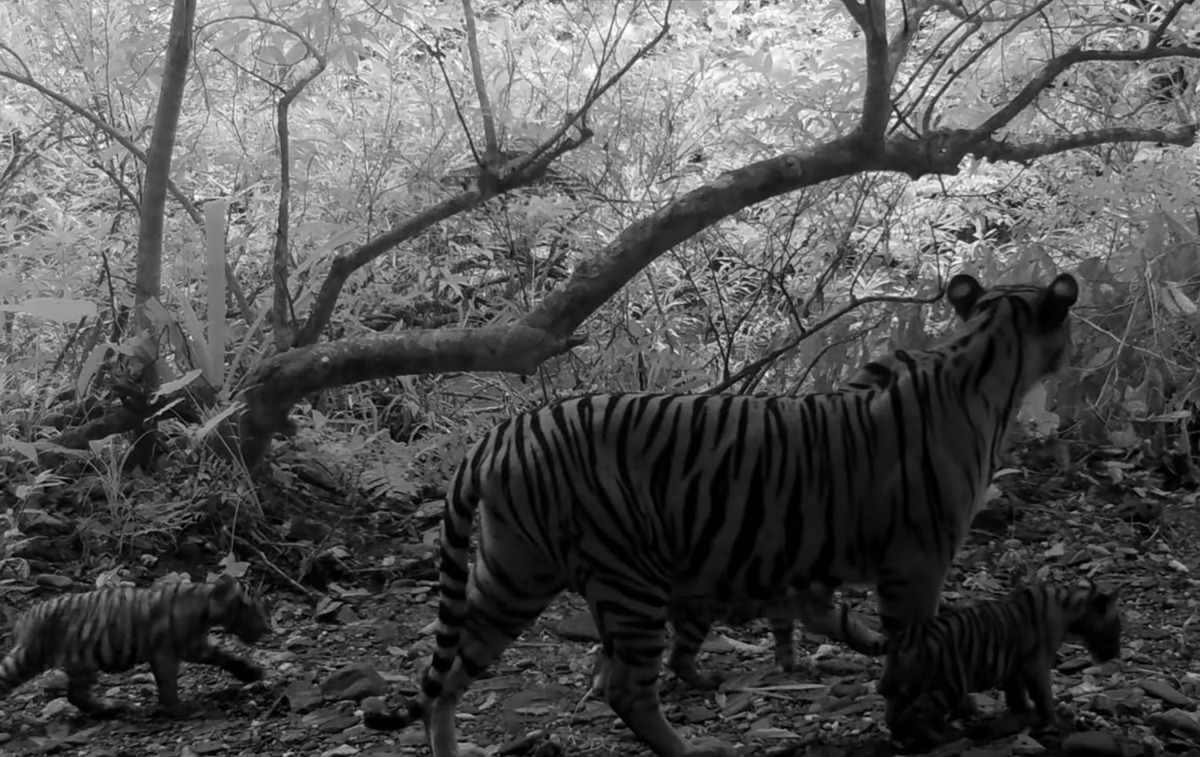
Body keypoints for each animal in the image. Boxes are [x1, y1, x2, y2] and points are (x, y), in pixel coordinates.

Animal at [0, 573, 271, 717]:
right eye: (252, 610)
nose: (268, 629)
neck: (204, 604)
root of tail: (23, 619)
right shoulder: (167, 651)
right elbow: (168, 682)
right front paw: (179, 707)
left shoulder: (194, 645)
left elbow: (224, 655)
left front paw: (250, 672)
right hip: (33, 656)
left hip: (82, 663)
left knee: (77, 696)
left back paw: (111, 707)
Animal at [362, 272, 1080, 757]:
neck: (983, 351)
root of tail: (497, 436)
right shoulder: (919, 559)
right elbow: (920, 640)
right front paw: (930, 712)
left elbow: (837, 617)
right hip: (626, 576)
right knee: (626, 687)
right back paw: (688, 747)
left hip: (512, 574)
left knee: (449, 674)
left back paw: (451, 748)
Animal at [843, 580, 1121, 749]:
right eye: (1116, 625)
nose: (1115, 653)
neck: (1070, 606)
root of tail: (902, 636)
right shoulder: (1037, 663)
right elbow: (1043, 695)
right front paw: (1053, 721)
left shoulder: (1014, 667)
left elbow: (1017, 695)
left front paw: (1022, 714)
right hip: (949, 684)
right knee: (920, 713)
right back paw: (944, 736)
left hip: (904, 684)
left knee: (893, 711)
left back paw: (903, 738)